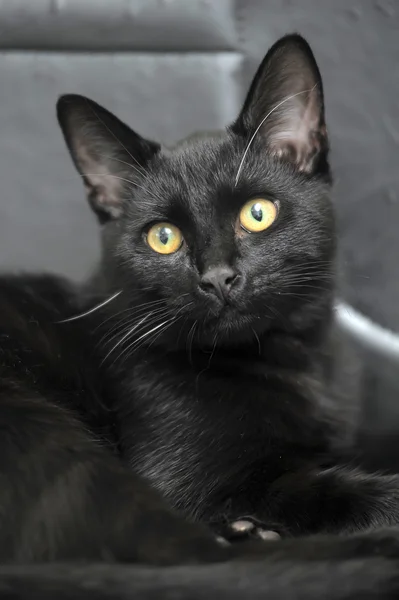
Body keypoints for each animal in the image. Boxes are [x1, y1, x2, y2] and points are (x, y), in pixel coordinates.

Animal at [0, 34, 399, 600]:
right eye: (163, 237)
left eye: (258, 213)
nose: (217, 277)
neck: (295, 360)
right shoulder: (193, 483)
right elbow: (337, 494)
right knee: (199, 559)